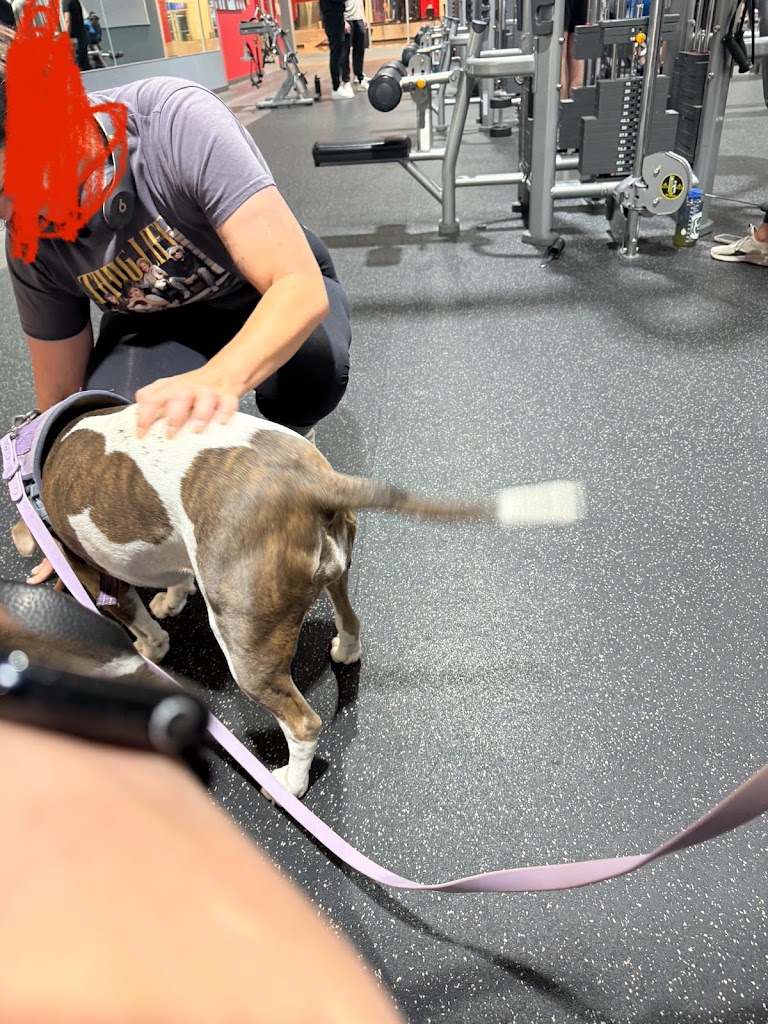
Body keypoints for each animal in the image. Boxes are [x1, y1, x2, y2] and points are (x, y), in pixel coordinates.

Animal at [11, 404, 585, 797]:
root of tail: (309, 482)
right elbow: (170, 579)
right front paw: (172, 599)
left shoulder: (87, 570)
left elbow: (131, 616)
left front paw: (150, 648)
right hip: (335, 569)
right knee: (350, 618)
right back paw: (345, 651)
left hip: (245, 643)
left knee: (304, 723)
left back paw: (289, 782)